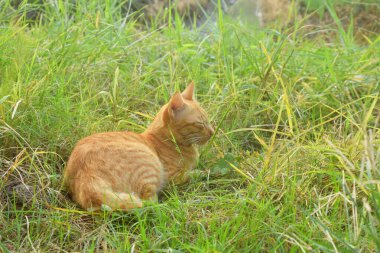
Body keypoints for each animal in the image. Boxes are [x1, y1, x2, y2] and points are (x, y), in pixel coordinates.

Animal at [65, 83, 214, 211]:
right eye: (200, 124)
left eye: (208, 120)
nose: (212, 132)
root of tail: (86, 179)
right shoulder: (173, 176)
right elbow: (195, 174)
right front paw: (207, 173)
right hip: (149, 165)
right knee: (149, 202)